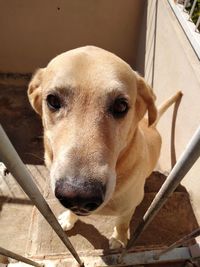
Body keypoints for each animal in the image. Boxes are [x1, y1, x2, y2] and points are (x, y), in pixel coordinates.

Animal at [27, 46, 181, 251]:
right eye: (52, 100)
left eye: (121, 105)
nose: (78, 196)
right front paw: (69, 218)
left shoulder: (128, 208)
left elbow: (122, 224)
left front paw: (119, 239)